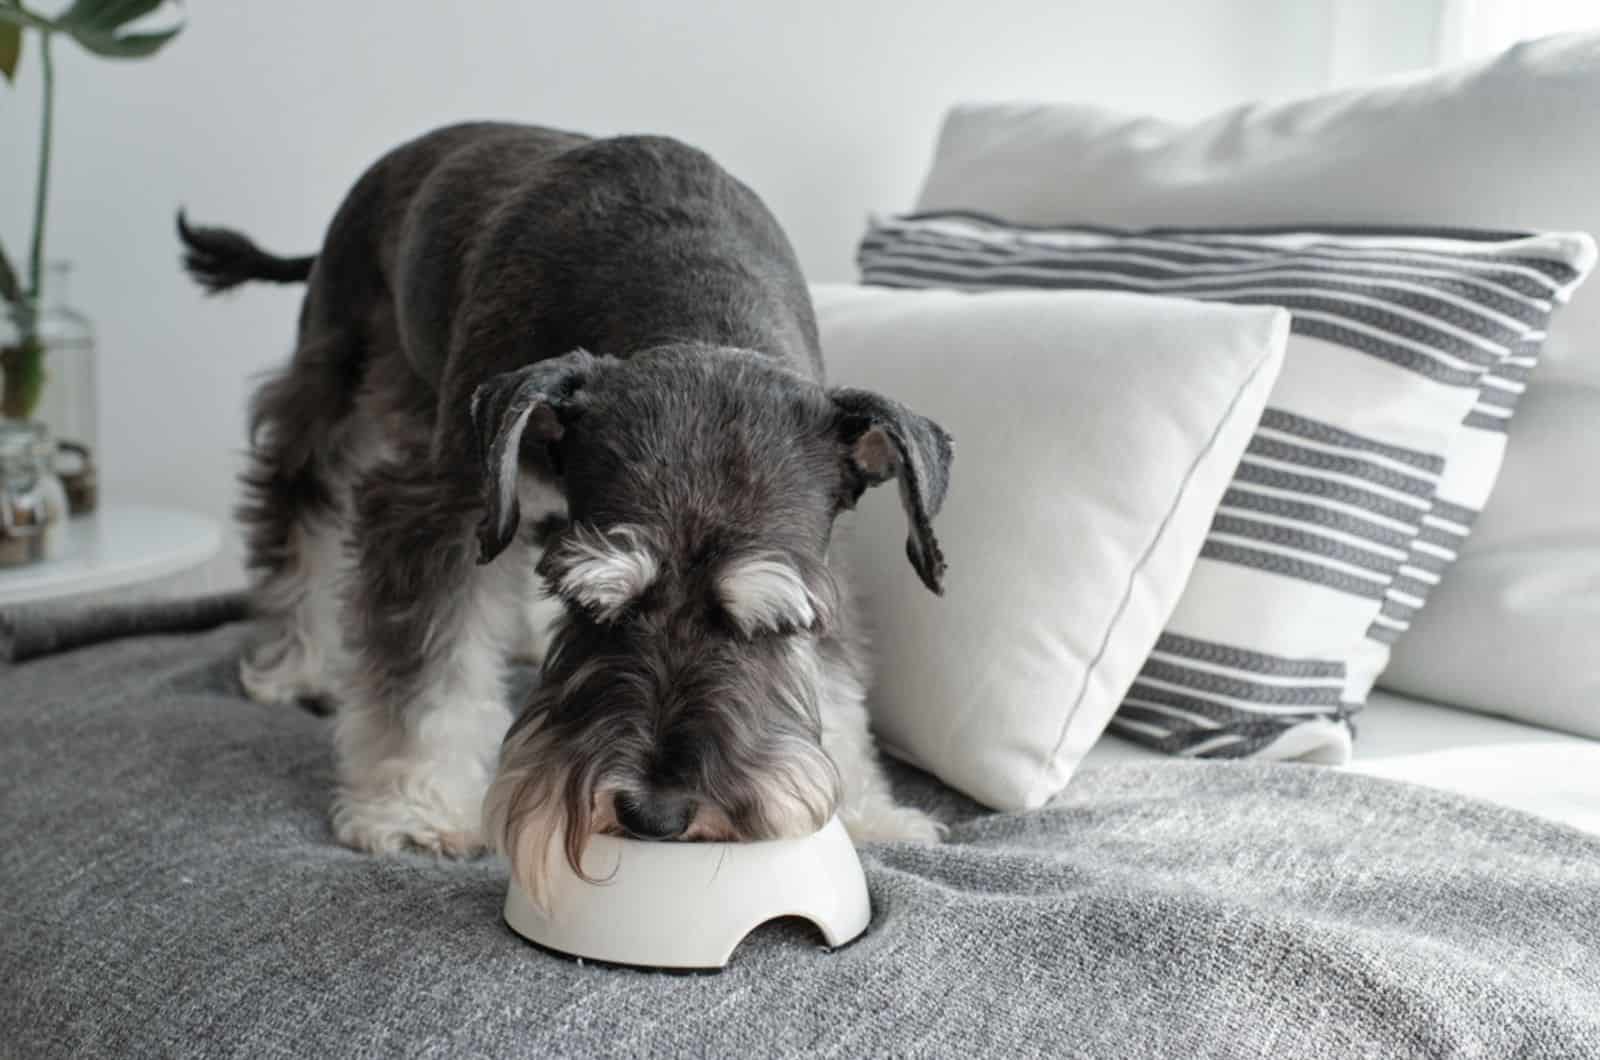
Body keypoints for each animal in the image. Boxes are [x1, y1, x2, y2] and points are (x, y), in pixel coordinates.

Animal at [178, 122, 947, 903]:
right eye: (595, 608)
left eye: (774, 628)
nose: (653, 813)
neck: (693, 307)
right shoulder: (441, 507)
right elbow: (428, 669)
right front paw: (417, 807)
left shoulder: (817, 561)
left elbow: (839, 682)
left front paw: (869, 811)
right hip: (339, 380)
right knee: (298, 510)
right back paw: (293, 663)